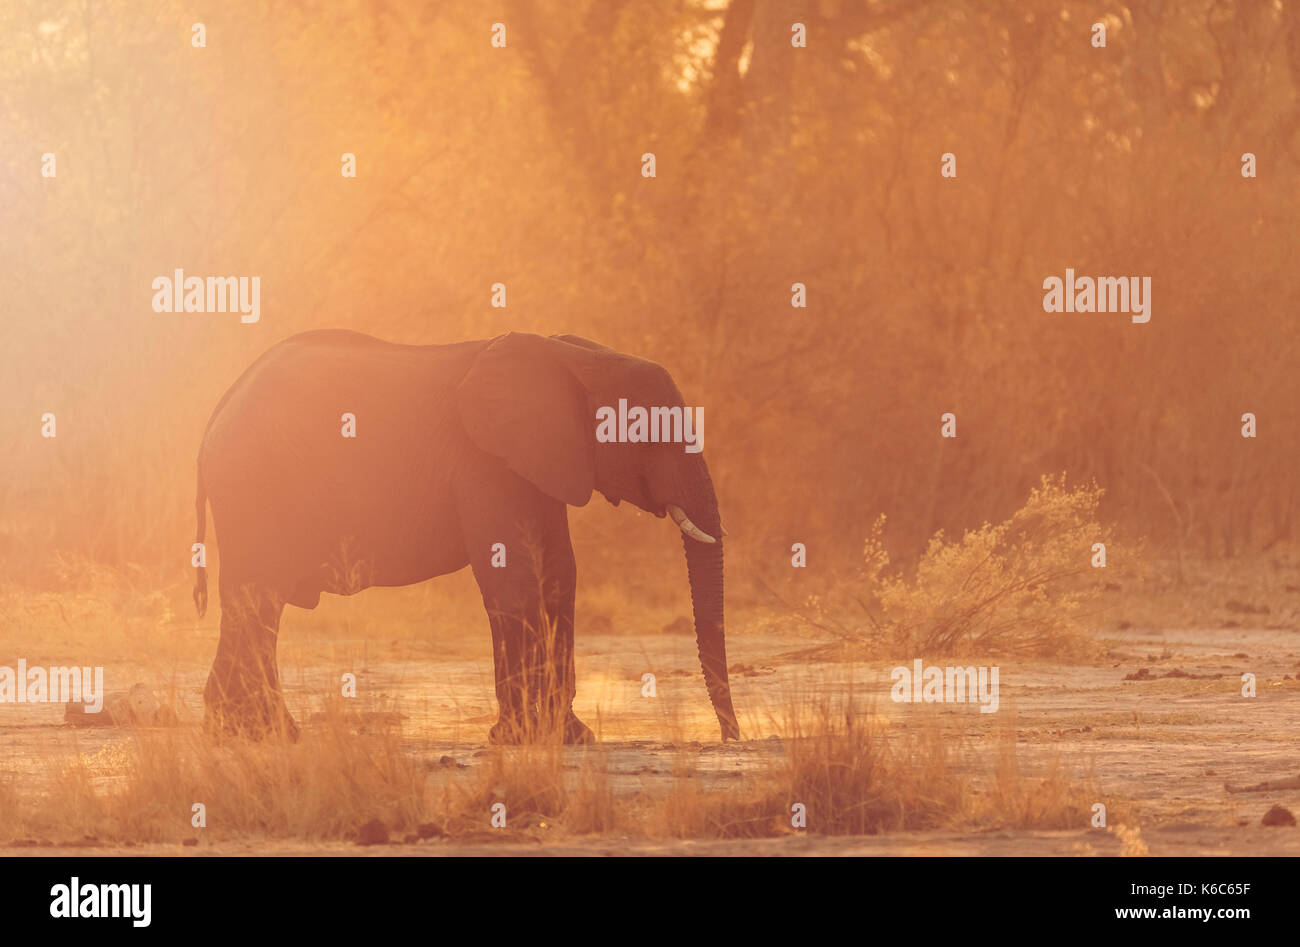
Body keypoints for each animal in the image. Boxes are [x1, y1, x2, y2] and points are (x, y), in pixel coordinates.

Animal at [193, 329, 743, 744]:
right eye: (651, 435)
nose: (731, 738)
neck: (575, 358)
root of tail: (220, 406)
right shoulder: (486, 464)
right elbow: (513, 582)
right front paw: (520, 738)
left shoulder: (538, 464)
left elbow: (559, 577)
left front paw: (569, 738)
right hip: (255, 490)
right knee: (258, 599)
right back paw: (266, 734)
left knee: (255, 606)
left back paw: (247, 732)